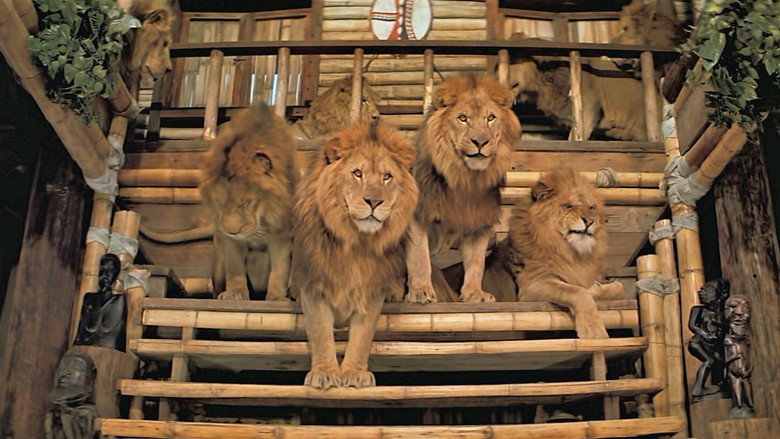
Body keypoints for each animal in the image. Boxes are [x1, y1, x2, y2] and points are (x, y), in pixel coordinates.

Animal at [197, 103, 299, 300]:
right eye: (220, 204)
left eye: (246, 203)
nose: (233, 231)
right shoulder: (229, 241)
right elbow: (235, 267)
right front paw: (235, 293)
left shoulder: (282, 237)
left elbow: (280, 271)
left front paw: (276, 297)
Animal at [291, 120, 418, 389]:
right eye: (357, 173)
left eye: (386, 176)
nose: (374, 201)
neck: (357, 244)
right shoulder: (313, 283)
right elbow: (319, 331)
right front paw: (325, 373)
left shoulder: (371, 290)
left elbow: (362, 336)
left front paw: (353, 373)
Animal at [404, 74, 520, 304]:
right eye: (463, 118)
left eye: (490, 118)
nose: (480, 142)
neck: (464, 178)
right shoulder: (417, 217)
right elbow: (419, 257)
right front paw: (420, 291)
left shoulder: (479, 222)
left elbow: (476, 262)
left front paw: (475, 293)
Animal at [480, 169, 625, 338]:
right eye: (568, 206)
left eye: (591, 207)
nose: (589, 221)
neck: (571, 252)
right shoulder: (532, 286)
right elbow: (578, 292)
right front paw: (593, 331)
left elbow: (619, 288)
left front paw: (596, 288)